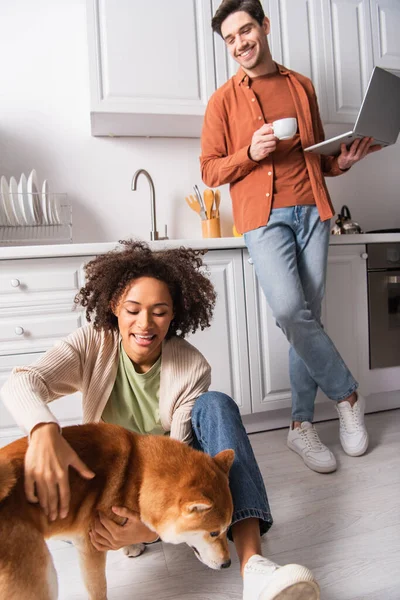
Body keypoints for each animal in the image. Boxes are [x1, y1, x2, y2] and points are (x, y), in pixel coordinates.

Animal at [0, 422, 234, 600]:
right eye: (214, 532)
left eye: (227, 528)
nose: (228, 564)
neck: (138, 476)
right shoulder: (90, 546)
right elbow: (98, 588)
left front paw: (130, 546)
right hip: (41, 576)